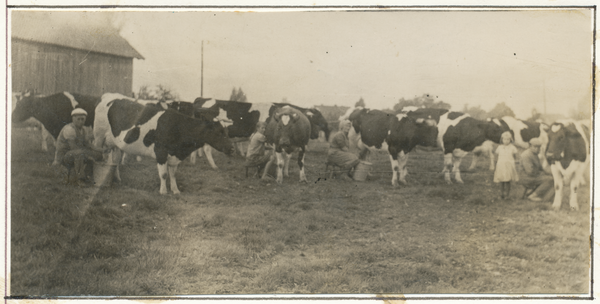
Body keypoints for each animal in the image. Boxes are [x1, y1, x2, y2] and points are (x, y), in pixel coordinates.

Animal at [94, 91, 234, 195]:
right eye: (219, 132)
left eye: (227, 131)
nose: (232, 149)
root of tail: (109, 96)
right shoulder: (160, 151)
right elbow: (164, 174)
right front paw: (163, 191)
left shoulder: (174, 155)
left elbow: (173, 174)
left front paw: (175, 190)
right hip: (98, 137)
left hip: (115, 144)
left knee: (115, 161)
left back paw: (117, 179)